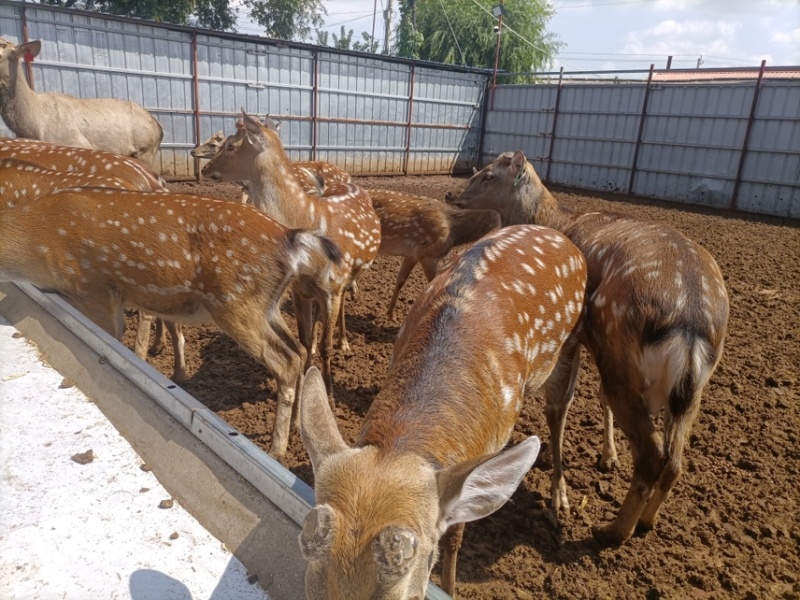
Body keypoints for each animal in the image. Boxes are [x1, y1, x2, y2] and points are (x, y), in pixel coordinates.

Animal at [0, 187, 341, 460]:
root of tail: (291, 236)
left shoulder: (94, 289)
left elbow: (112, 341)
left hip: (235, 301)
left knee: (285, 359)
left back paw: (276, 449)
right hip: (266, 305)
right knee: (298, 350)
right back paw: (297, 424)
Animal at [201, 111, 381, 399]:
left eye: (229, 145)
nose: (205, 169)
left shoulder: (332, 288)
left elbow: (325, 346)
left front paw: (330, 394)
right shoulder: (299, 290)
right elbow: (305, 342)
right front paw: (308, 380)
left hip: (347, 276)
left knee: (343, 303)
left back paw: (344, 342)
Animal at [298, 223, 588, 599]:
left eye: (405, 592)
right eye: (311, 586)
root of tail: (560, 234)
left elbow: (455, 534)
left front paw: (450, 588)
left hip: (569, 350)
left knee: (559, 411)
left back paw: (560, 499)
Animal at [449, 150, 730, 543]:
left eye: (488, 175)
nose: (451, 194)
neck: (555, 220)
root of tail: (690, 322)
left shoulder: (577, 335)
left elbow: (566, 401)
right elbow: (593, 398)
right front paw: (607, 457)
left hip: (619, 348)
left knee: (650, 453)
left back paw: (612, 530)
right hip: (691, 385)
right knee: (674, 459)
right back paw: (647, 521)